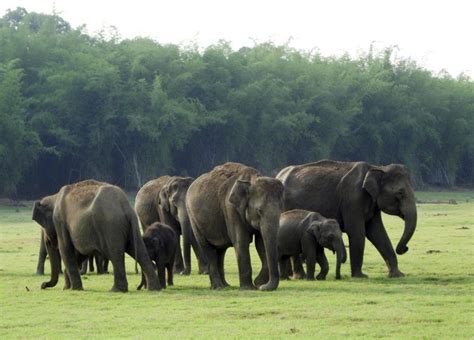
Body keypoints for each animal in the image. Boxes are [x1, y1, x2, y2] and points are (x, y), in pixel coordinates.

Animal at [32, 179, 161, 290]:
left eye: (43, 227)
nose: (43, 285)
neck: (54, 197)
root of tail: (126, 207)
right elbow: (80, 253)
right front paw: (67, 287)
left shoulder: (60, 221)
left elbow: (66, 249)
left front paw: (74, 289)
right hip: (129, 228)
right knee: (140, 251)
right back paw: (154, 288)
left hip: (111, 227)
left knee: (115, 254)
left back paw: (116, 290)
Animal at [276, 161, 416, 278]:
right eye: (400, 193)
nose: (405, 248)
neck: (377, 167)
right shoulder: (353, 199)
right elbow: (357, 232)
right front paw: (360, 276)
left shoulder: (373, 202)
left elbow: (377, 232)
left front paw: (397, 275)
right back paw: (299, 276)